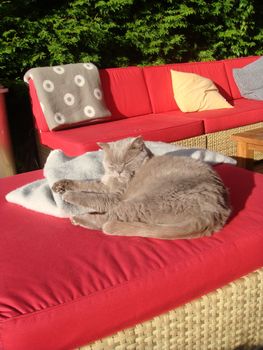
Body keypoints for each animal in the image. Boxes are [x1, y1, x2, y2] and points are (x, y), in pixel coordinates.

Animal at [52, 137, 232, 241]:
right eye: (112, 164)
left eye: (126, 162)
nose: (119, 171)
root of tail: (214, 211)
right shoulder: (104, 184)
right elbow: (86, 184)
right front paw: (60, 185)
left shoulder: (116, 196)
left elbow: (91, 197)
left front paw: (68, 194)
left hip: (141, 202)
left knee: (105, 220)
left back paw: (78, 218)